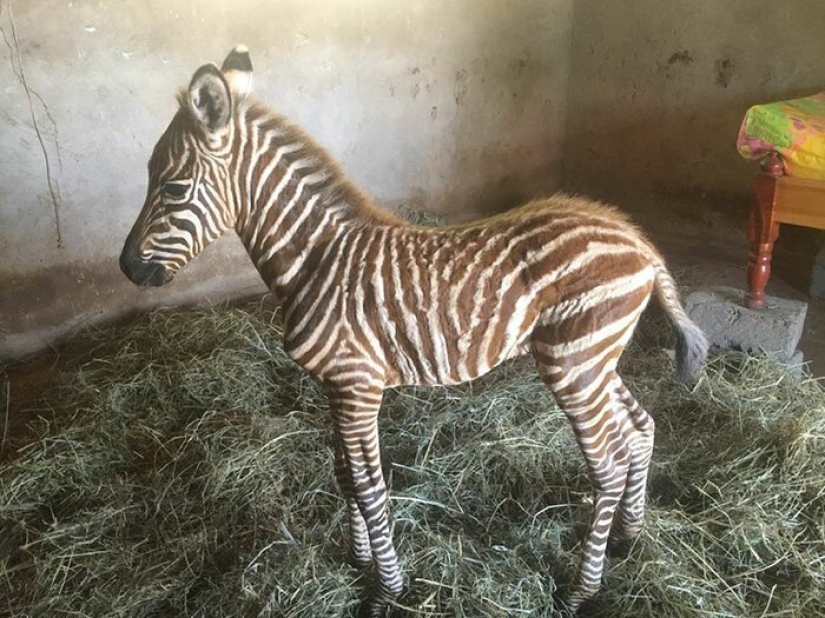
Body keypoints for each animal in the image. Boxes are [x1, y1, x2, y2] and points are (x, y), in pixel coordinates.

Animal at [120, 46, 708, 616]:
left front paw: (386, 591)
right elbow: (343, 475)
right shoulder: (336, 387)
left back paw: (581, 590)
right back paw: (627, 536)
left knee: (608, 462)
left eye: (173, 187)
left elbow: (369, 486)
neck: (316, 260)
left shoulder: (358, 386)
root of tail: (635, 238)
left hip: (574, 363)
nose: (127, 269)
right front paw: (358, 559)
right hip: (592, 358)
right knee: (639, 427)